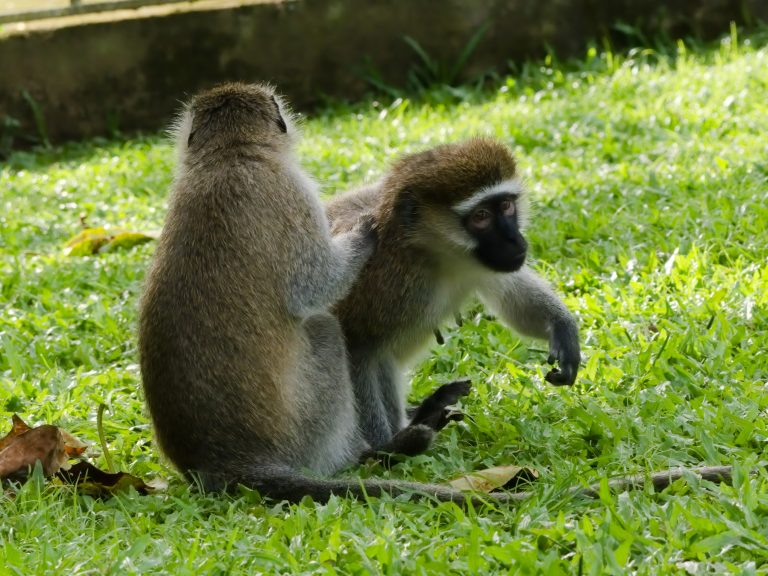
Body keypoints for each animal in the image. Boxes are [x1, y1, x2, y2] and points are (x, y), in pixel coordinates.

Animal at [326, 140, 584, 450]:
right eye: (481, 217)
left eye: (506, 205)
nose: (515, 240)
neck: (432, 255)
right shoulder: (381, 279)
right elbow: (356, 346)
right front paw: (383, 449)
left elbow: (512, 294)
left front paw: (562, 327)